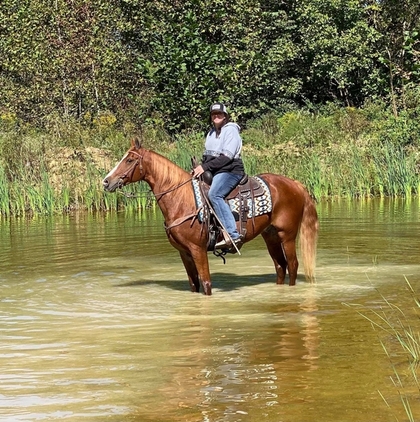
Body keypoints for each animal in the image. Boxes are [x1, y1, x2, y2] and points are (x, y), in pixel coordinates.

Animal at [101, 137, 318, 296]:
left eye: (129, 160)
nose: (106, 182)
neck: (182, 198)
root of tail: (295, 184)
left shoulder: (198, 250)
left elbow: (206, 284)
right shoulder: (184, 252)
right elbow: (194, 284)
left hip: (287, 235)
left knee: (293, 265)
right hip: (270, 235)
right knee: (281, 266)